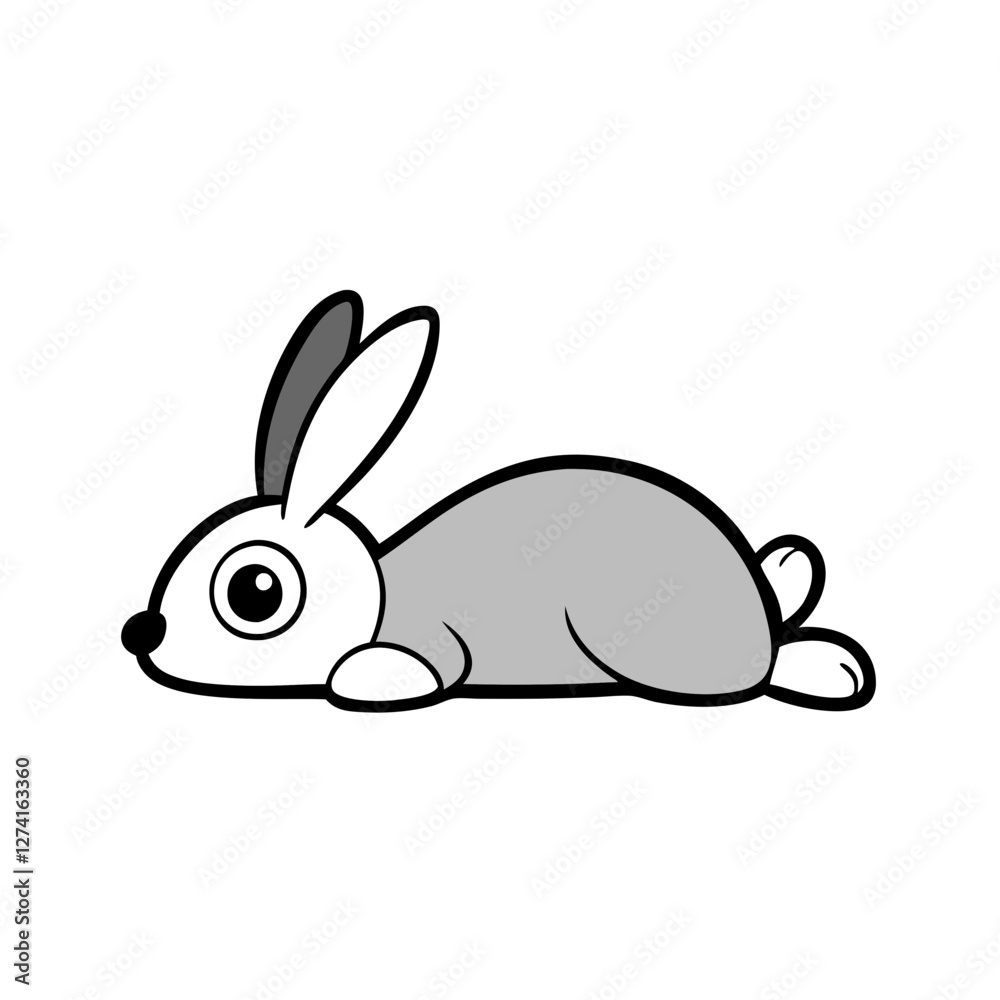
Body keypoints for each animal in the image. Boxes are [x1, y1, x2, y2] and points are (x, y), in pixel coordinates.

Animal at [122, 290, 875, 712]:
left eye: (255, 592)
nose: (142, 636)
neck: (371, 592)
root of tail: (755, 606)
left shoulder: (434, 642)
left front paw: (361, 676)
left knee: (754, 673)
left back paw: (828, 669)